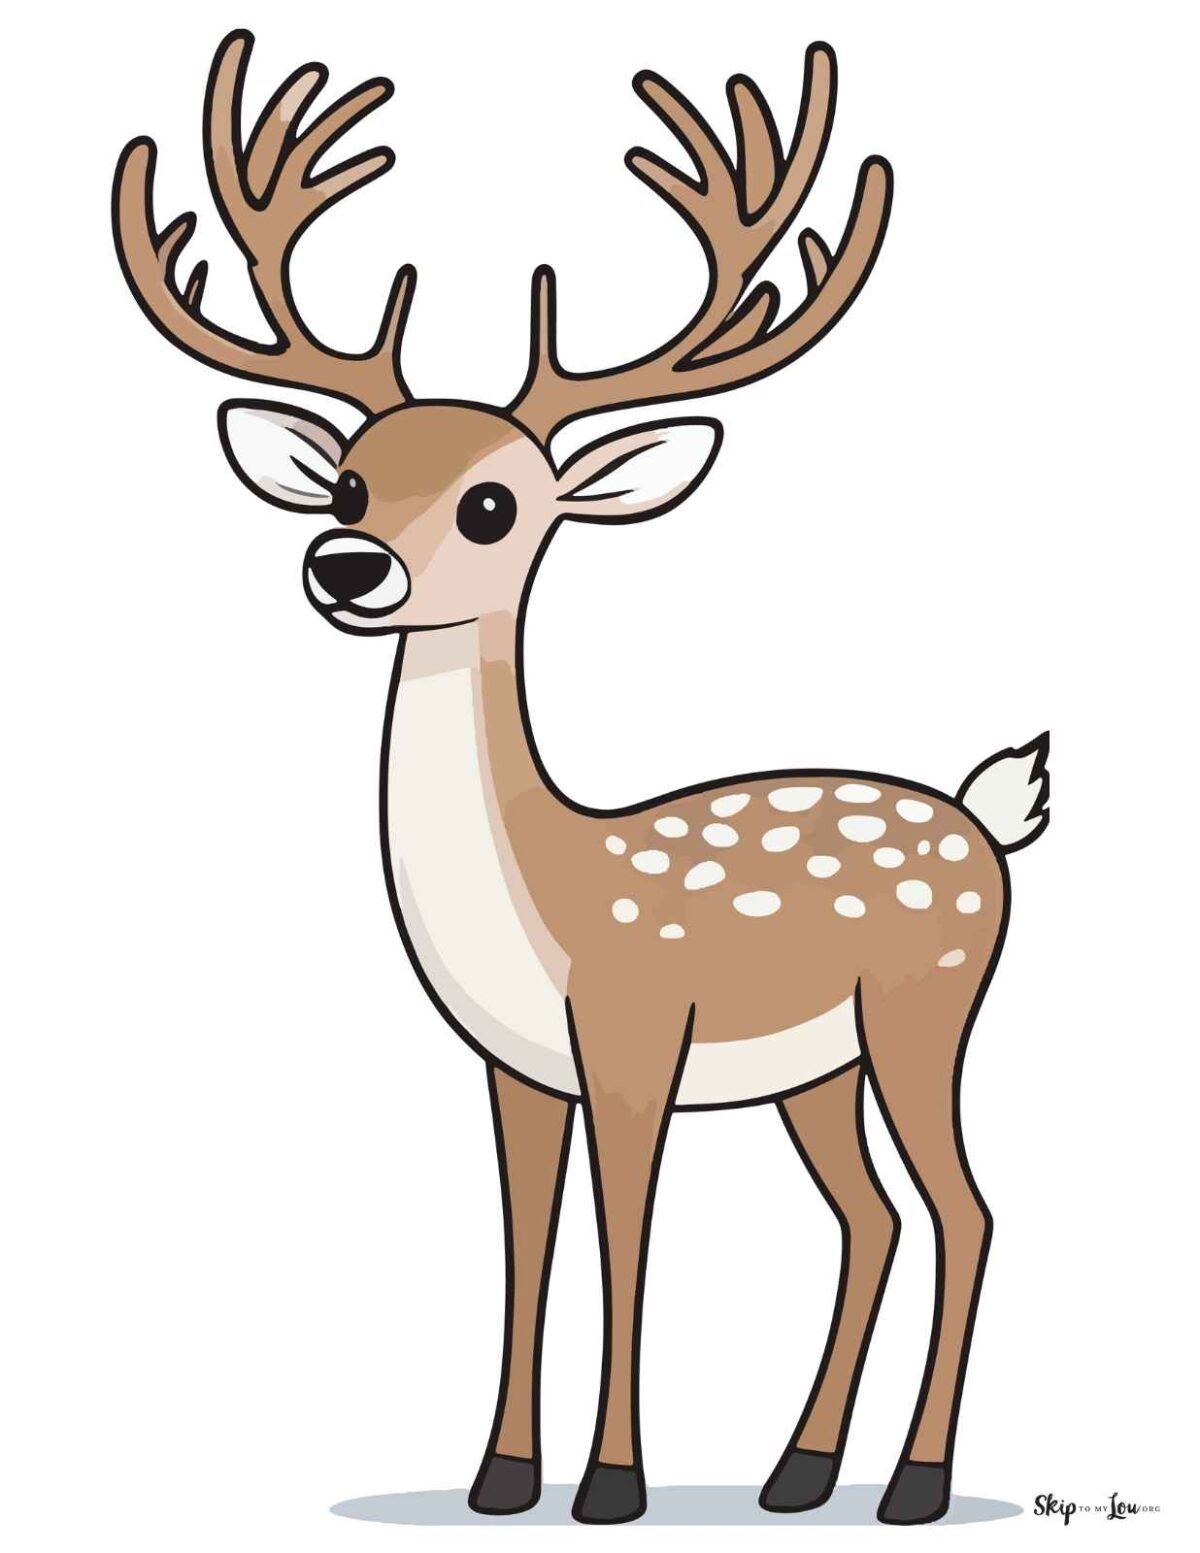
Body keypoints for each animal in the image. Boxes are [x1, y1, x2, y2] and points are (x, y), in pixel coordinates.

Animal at [113, 29, 1049, 1527]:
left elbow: (625, 1240)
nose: (345, 568)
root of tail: (987, 817)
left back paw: (912, 1481)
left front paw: (612, 1482)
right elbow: (526, 1241)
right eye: (348, 486)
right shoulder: (513, 1067)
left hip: (928, 1009)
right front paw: (501, 1474)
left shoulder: (633, 1033)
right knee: (873, 1214)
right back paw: (798, 1470)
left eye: (496, 503)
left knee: (965, 1208)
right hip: (818, 1068)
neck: (541, 904)